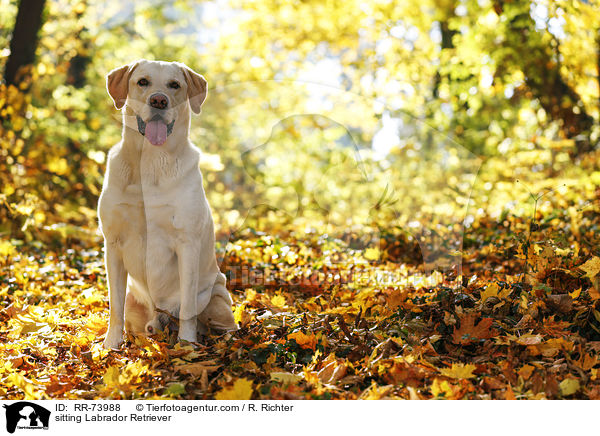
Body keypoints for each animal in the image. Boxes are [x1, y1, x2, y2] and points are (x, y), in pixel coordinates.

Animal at [99, 59, 238, 350]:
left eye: (175, 85)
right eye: (142, 81)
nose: (159, 100)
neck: (148, 161)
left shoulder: (186, 243)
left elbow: (187, 307)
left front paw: (186, 345)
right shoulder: (113, 243)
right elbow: (114, 305)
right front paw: (110, 346)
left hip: (218, 299)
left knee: (225, 325)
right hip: (136, 305)